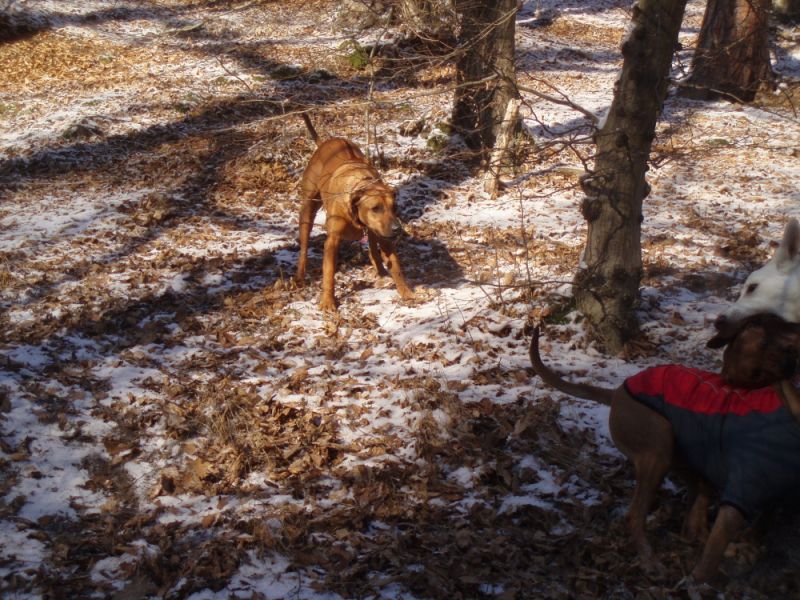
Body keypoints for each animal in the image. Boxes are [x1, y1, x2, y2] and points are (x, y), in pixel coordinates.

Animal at [294, 113, 414, 312]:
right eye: (375, 208)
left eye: (394, 207)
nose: (398, 229)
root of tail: (325, 142)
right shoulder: (332, 241)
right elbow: (329, 273)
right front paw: (328, 301)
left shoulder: (384, 235)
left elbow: (395, 265)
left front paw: (407, 292)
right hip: (308, 209)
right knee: (304, 246)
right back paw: (300, 276)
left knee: (373, 248)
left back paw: (381, 272)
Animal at [529, 315, 800, 583]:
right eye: (768, 344)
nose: (787, 362)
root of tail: (617, 392)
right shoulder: (739, 492)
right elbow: (712, 554)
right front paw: (696, 582)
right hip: (658, 446)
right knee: (636, 516)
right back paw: (651, 562)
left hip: (681, 458)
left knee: (693, 508)